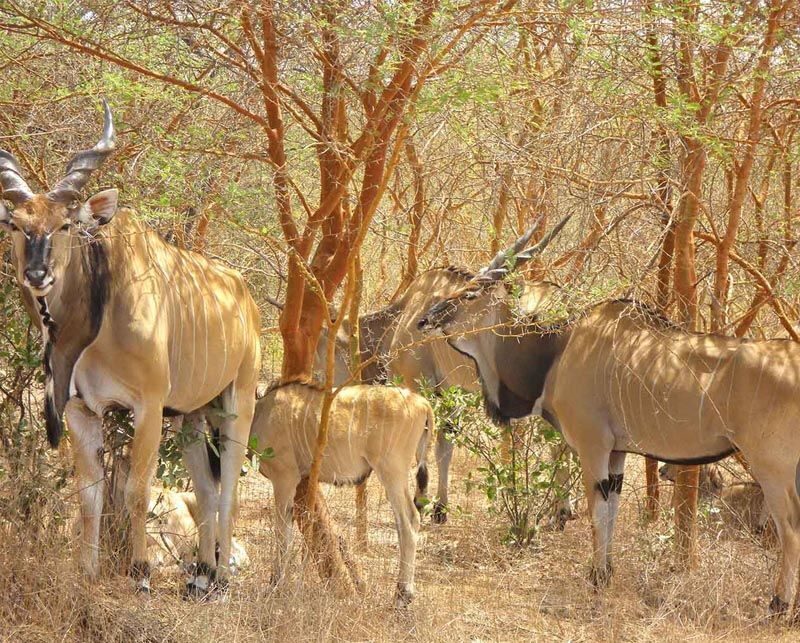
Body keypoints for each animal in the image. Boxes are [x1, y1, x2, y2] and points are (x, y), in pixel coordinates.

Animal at [253, 382, 432, 608]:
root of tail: (422, 402)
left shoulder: (284, 479)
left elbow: (282, 534)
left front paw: (276, 586)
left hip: (392, 471)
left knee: (409, 520)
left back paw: (402, 596)